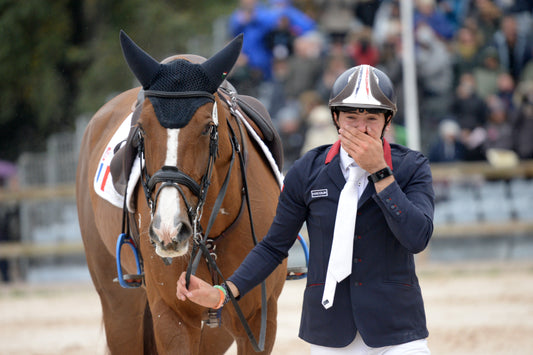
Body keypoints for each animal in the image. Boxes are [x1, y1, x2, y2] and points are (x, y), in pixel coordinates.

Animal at [76, 31, 286, 355]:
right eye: (142, 129)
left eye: (207, 128)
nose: (169, 230)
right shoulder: (171, 317)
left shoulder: (259, 316)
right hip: (119, 306)